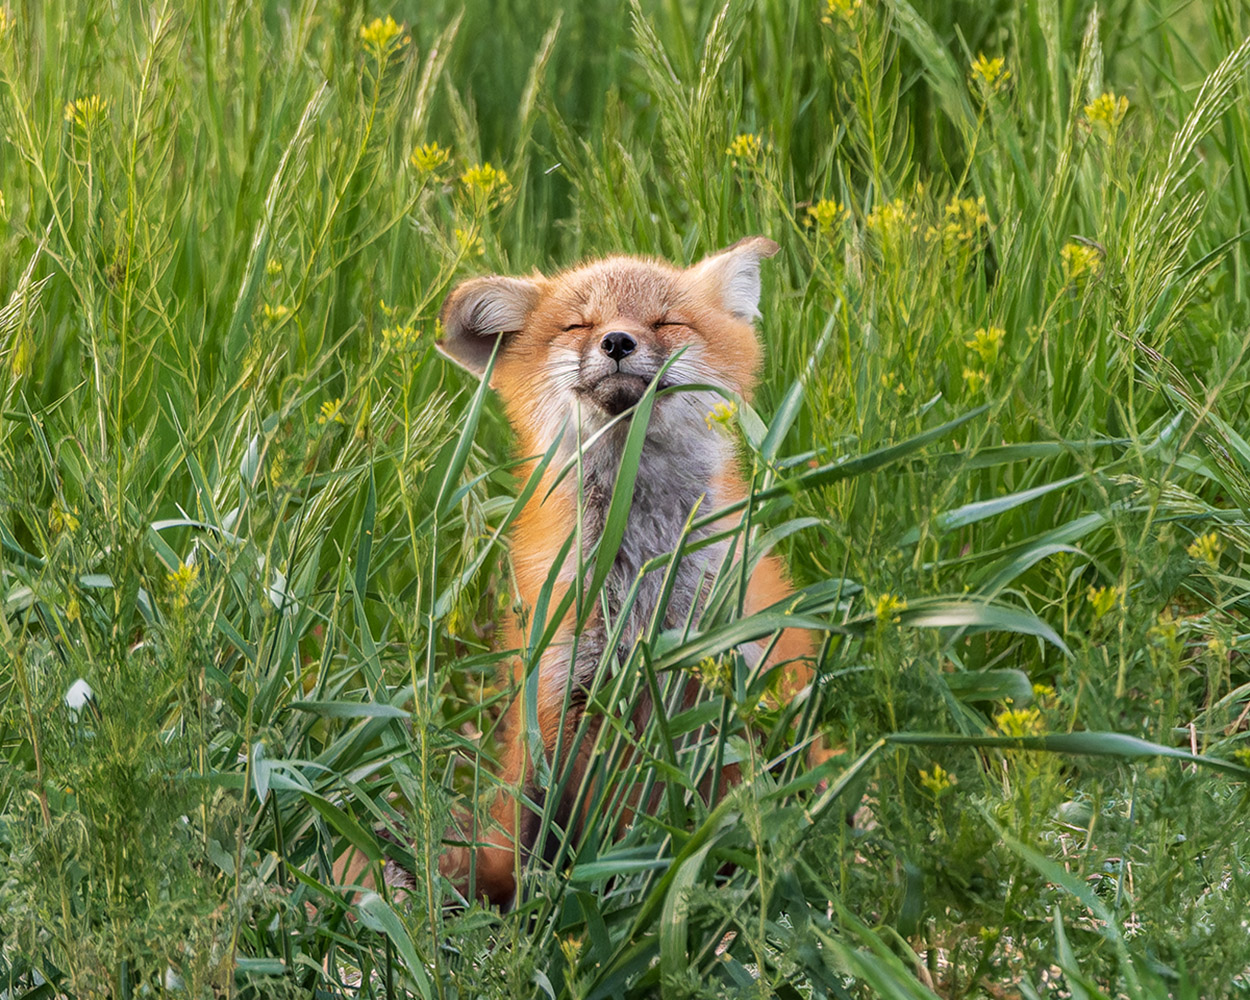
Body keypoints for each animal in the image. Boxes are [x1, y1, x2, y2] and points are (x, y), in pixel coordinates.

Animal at [423, 236, 815, 906]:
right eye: (577, 326)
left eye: (666, 322)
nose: (617, 342)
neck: (642, 588)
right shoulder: (557, 705)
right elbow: (542, 841)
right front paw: (537, 924)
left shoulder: (733, 690)